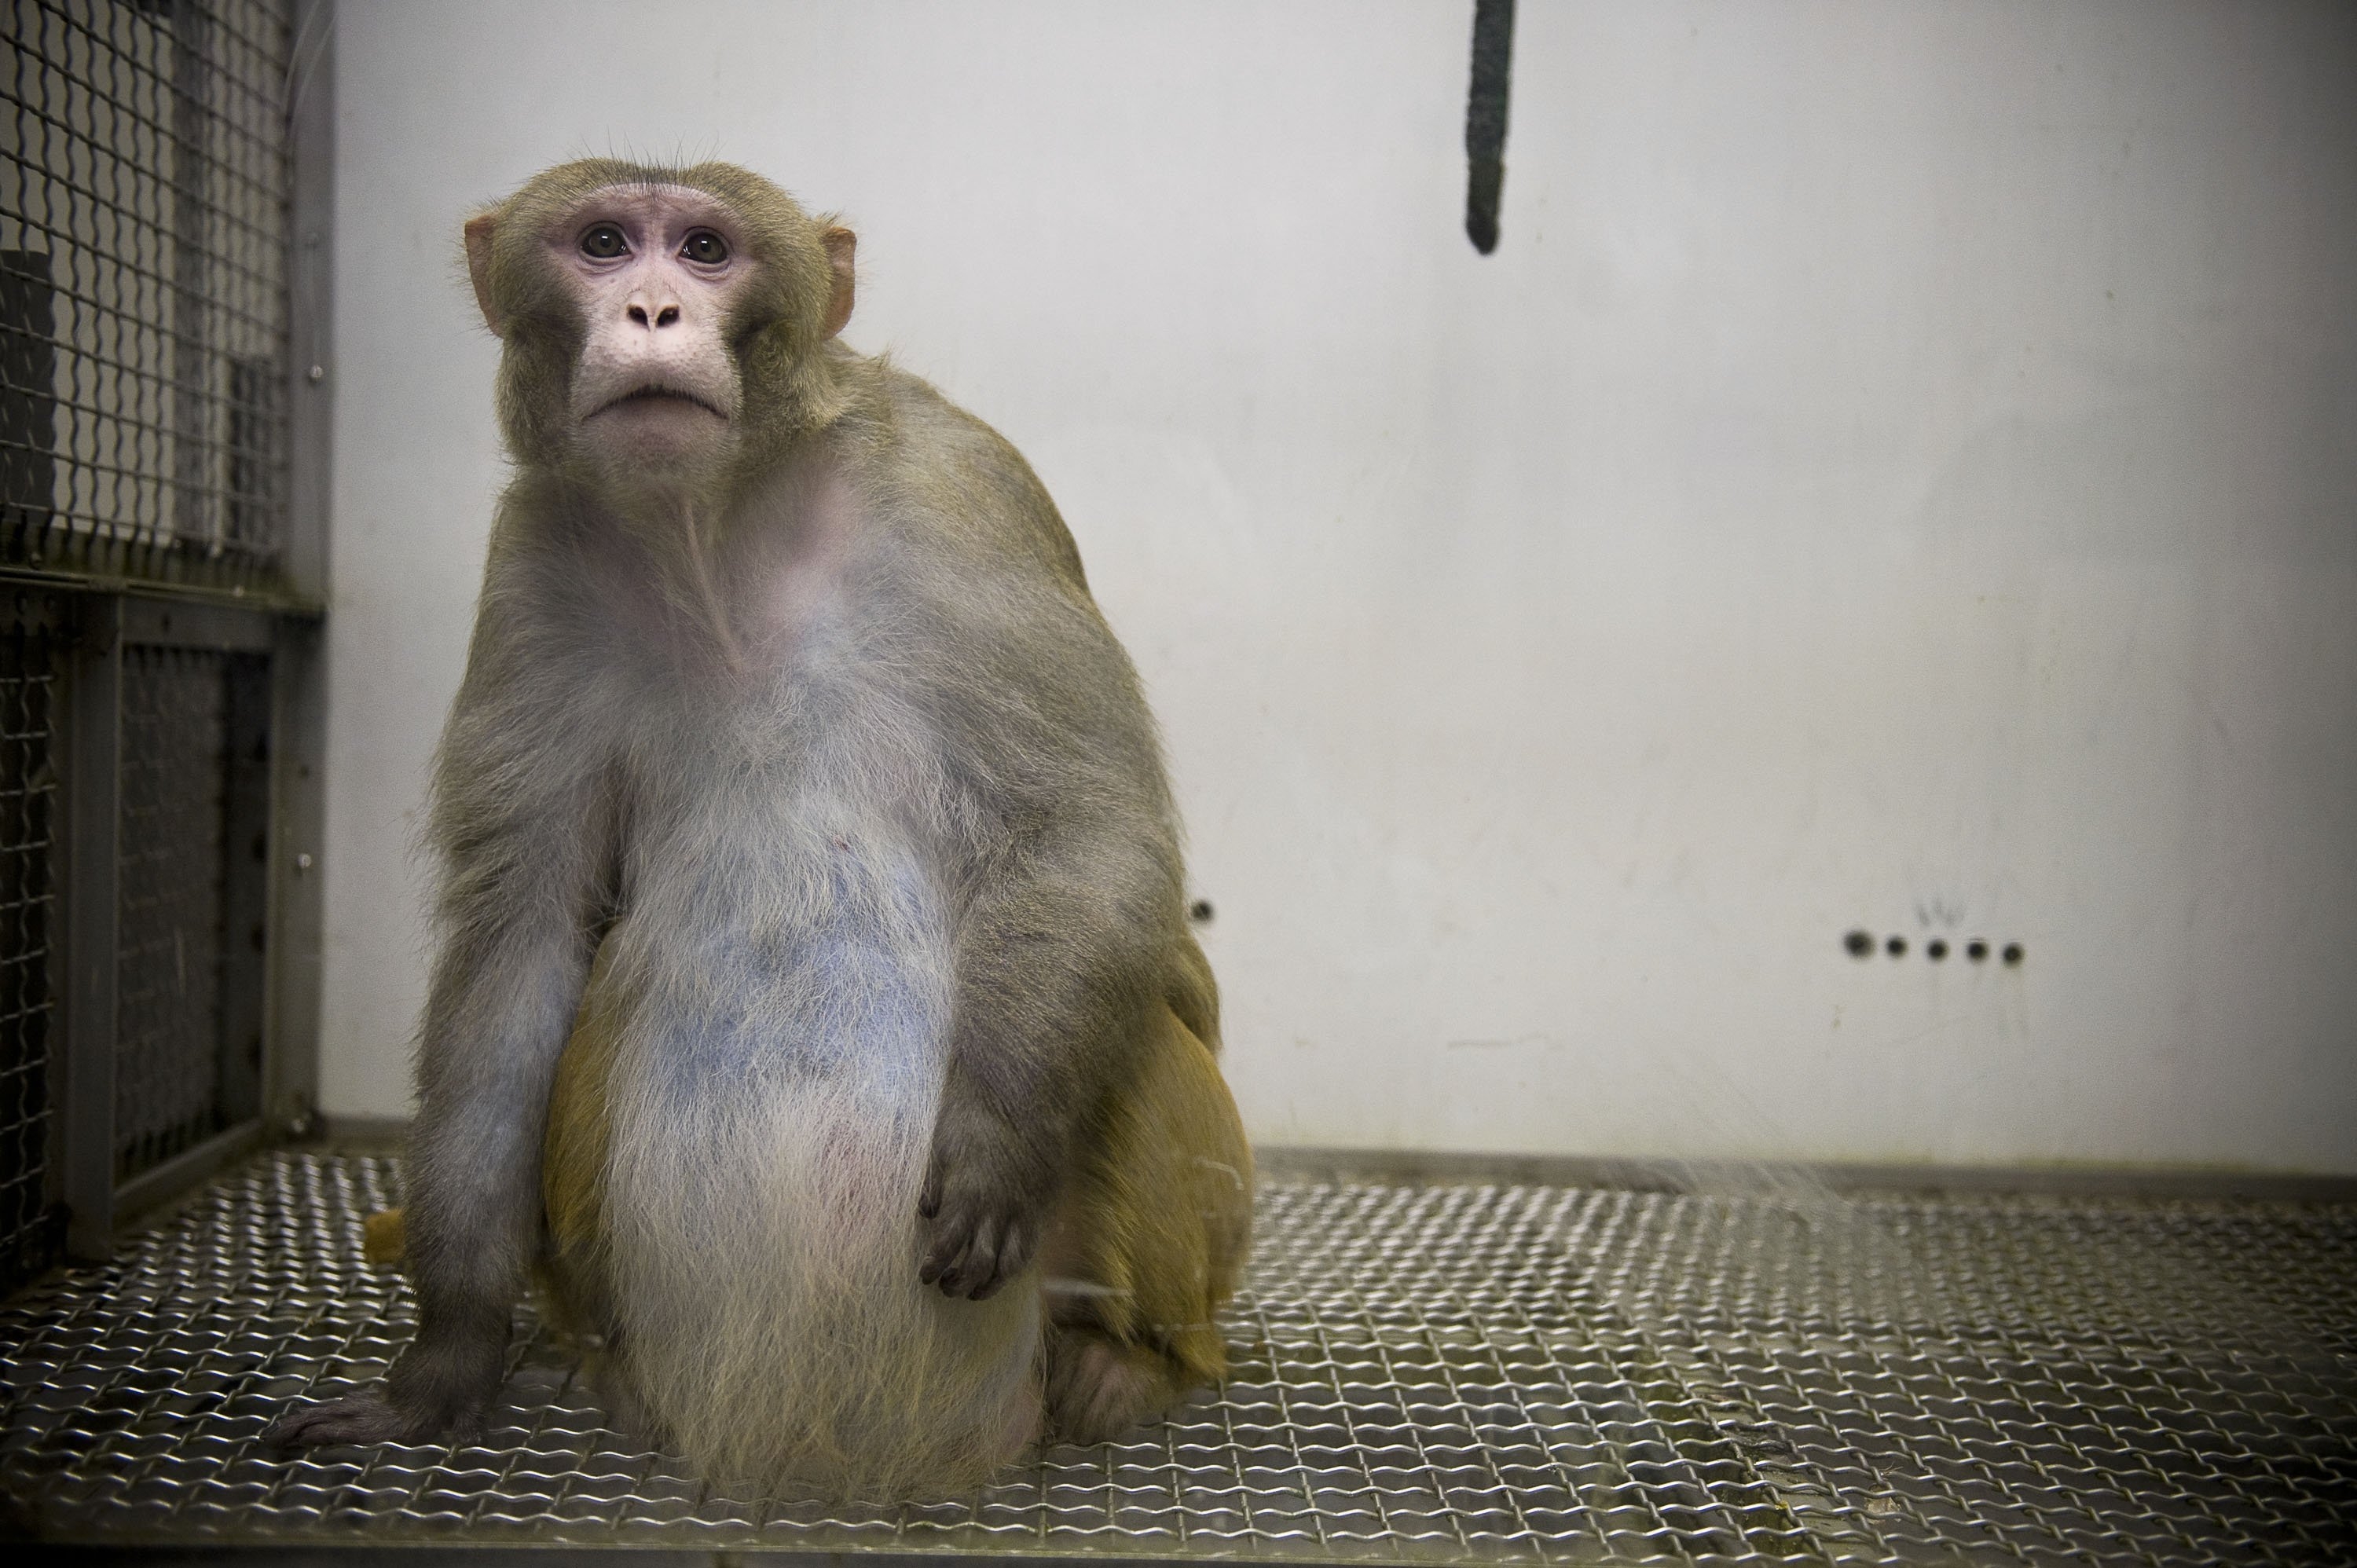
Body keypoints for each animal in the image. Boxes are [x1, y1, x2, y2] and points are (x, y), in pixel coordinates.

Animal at [267, 159, 1252, 1495]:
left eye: (705, 249)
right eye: (605, 243)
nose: (651, 310)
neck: (711, 530)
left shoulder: (966, 493)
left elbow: (1085, 829)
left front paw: (996, 1136)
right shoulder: (531, 573)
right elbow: (520, 951)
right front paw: (446, 1358)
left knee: (1134, 1019)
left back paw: (1125, 1366)